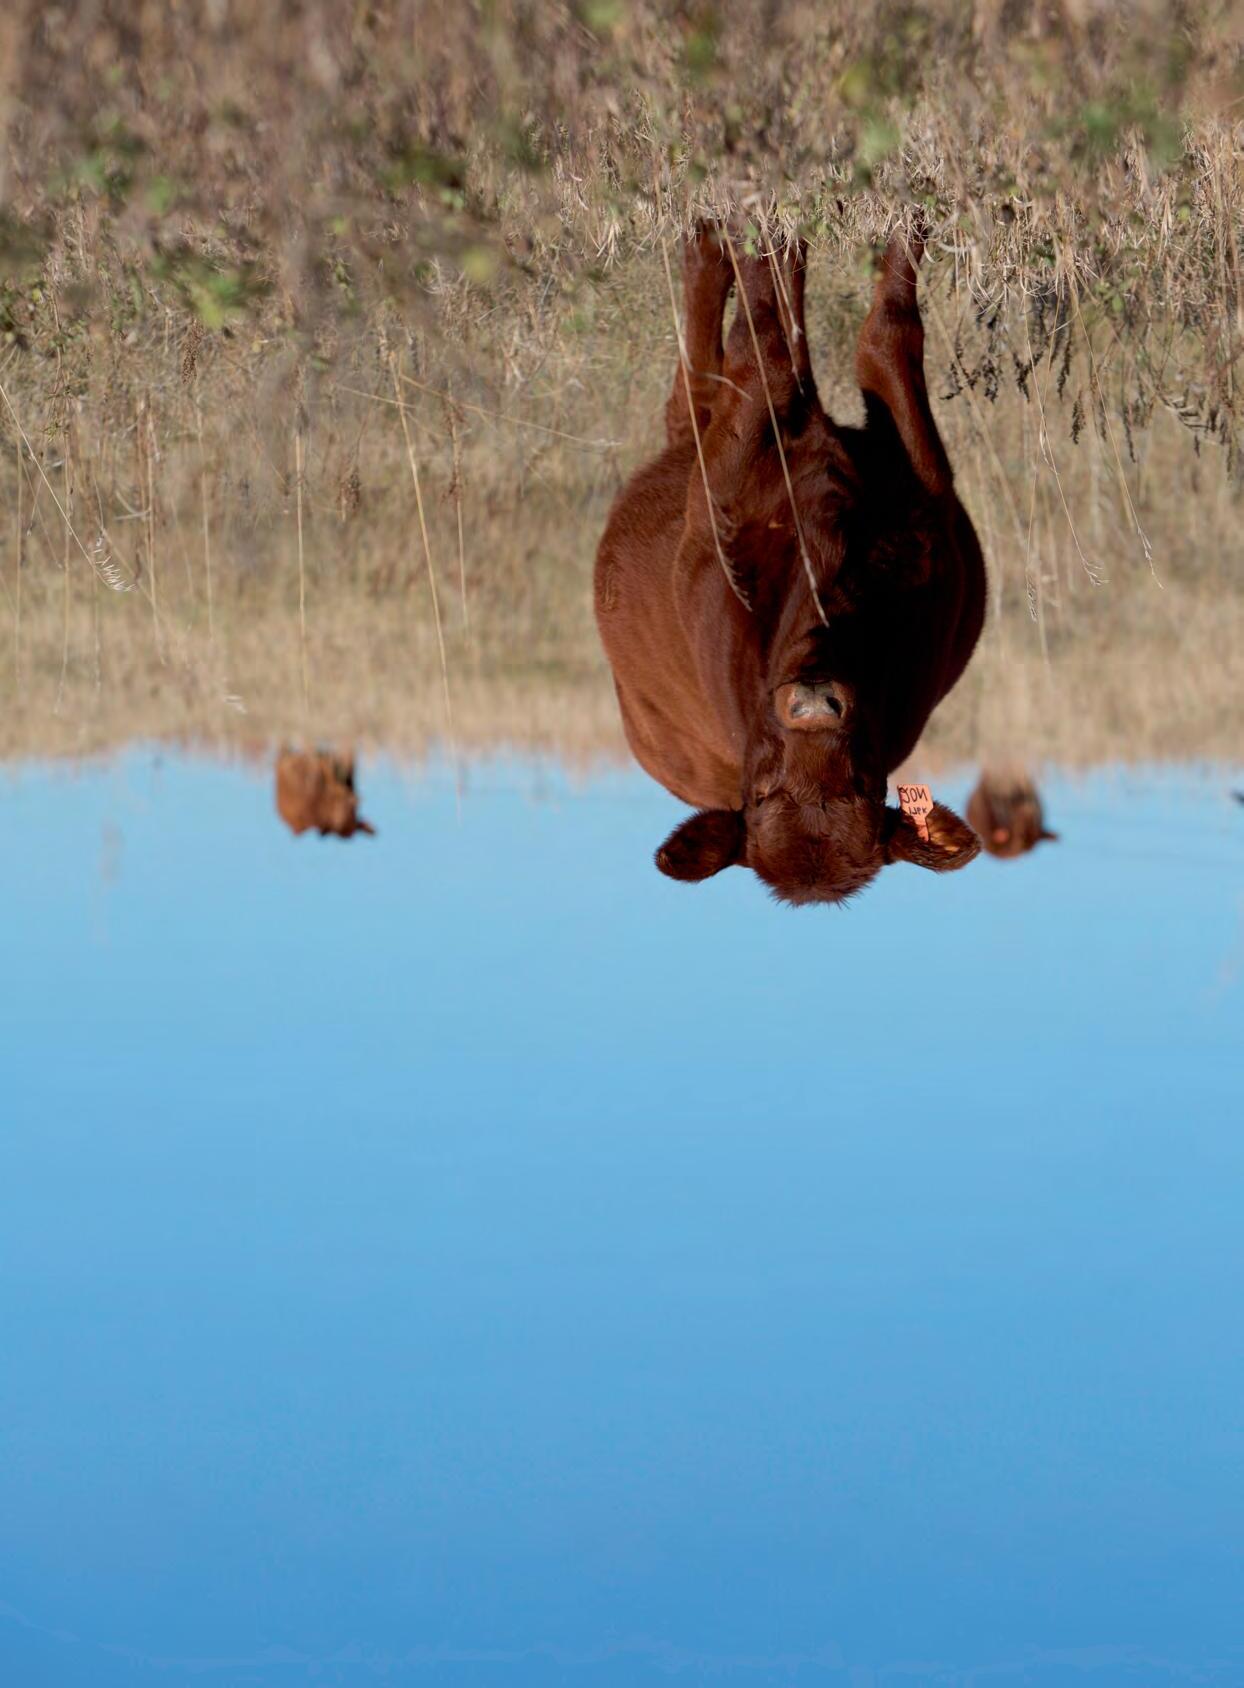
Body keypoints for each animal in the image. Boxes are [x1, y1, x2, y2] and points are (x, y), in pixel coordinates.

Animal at [594, 223, 985, 904]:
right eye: (761, 792)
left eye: (864, 783)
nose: (814, 706)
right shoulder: (724, 503)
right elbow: (797, 343)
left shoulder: (927, 509)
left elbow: (860, 337)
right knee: (730, 368)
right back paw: (719, 244)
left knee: (718, 375)